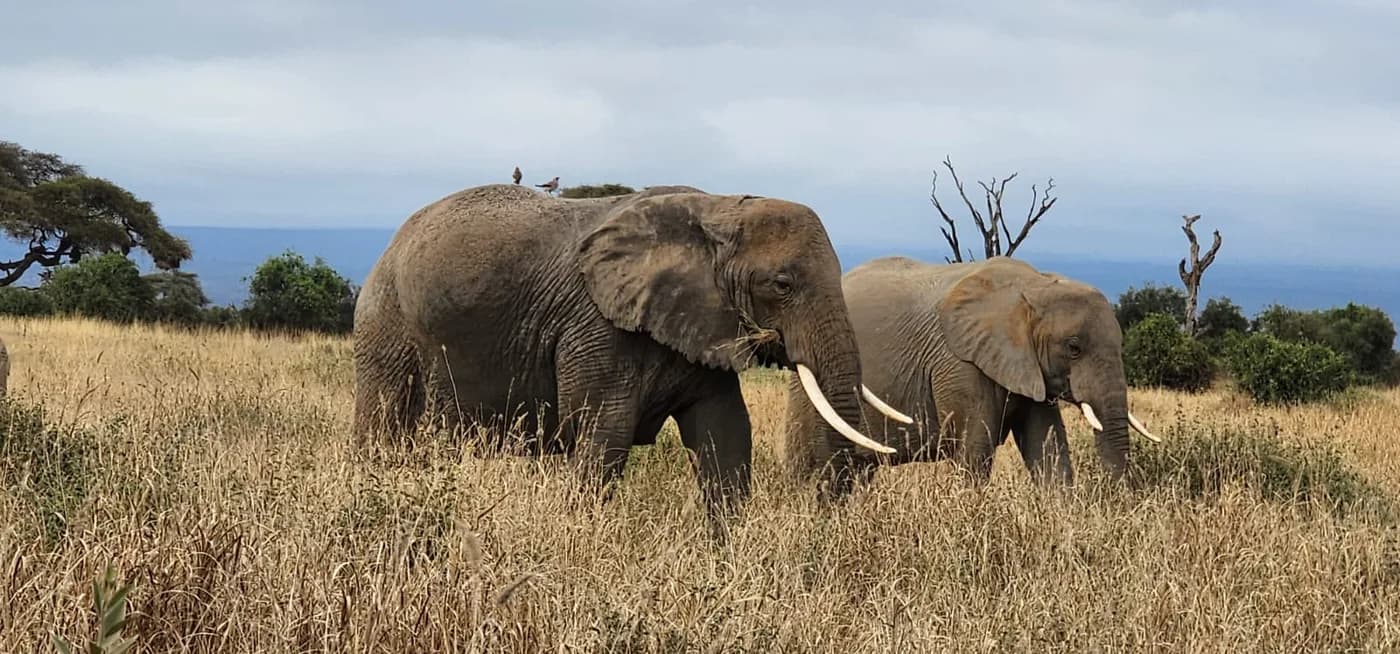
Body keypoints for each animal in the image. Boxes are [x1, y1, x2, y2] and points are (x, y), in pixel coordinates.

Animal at [353, 183, 908, 522]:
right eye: (783, 285)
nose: (867, 463)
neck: (719, 211)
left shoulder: (702, 323)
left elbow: (725, 431)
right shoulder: (596, 323)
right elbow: (604, 431)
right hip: (386, 321)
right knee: (384, 426)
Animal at [785, 255, 1159, 499]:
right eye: (1074, 347)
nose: (1118, 501)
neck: (1035, 286)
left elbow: (1046, 444)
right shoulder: (959, 364)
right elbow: (975, 448)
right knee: (812, 463)